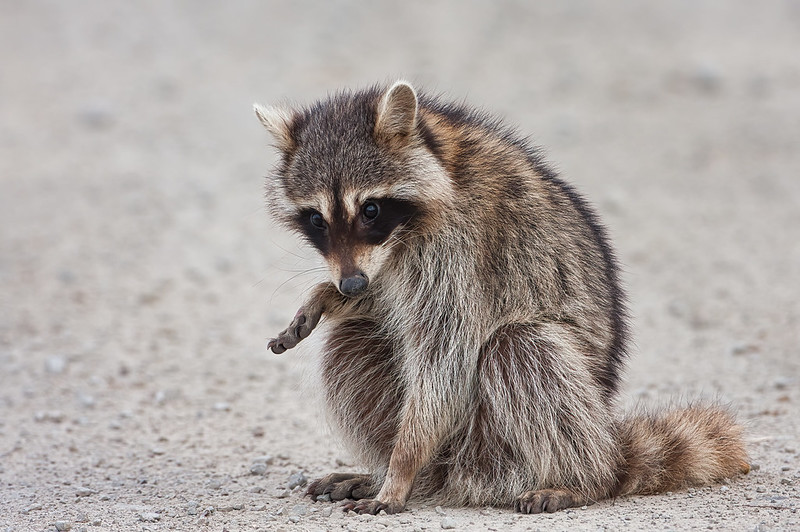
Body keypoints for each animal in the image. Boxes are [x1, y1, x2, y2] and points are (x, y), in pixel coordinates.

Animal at [255, 81, 752, 512]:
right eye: (316, 220)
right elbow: (387, 300)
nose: (350, 286)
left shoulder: (463, 247)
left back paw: (582, 477)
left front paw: (401, 467)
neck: (438, 158)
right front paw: (330, 294)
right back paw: (398, 472)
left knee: (519, 348)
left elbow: (445, 360)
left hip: (492, 448)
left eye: (371, 209)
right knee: (351, 341)